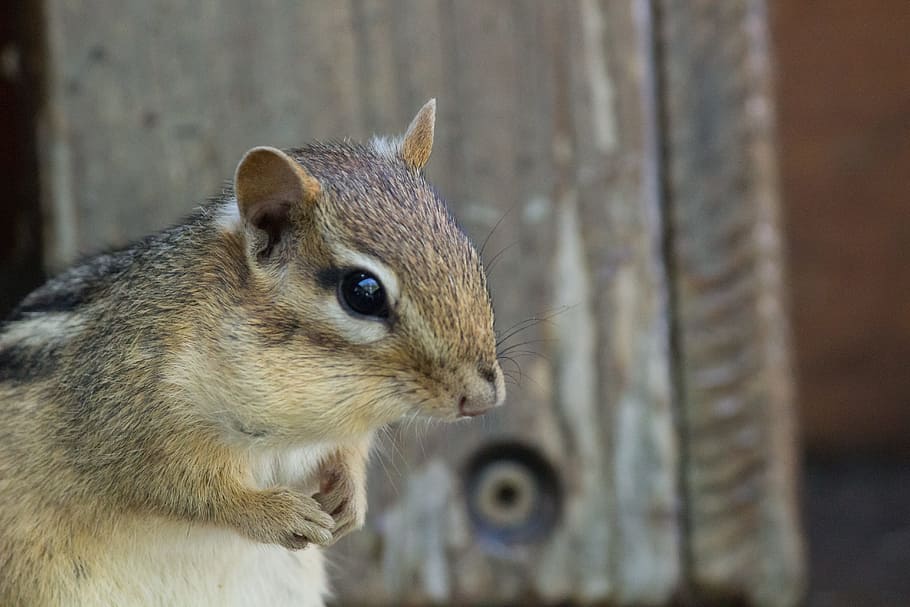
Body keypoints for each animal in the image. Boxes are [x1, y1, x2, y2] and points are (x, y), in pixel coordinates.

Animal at [0, 99, 505, 606]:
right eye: (363, 292)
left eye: (469, 255)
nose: (483, 399)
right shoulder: (124, 412)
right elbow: (184, 488)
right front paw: (277, 512)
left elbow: (349, 449)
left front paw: (351, 499)